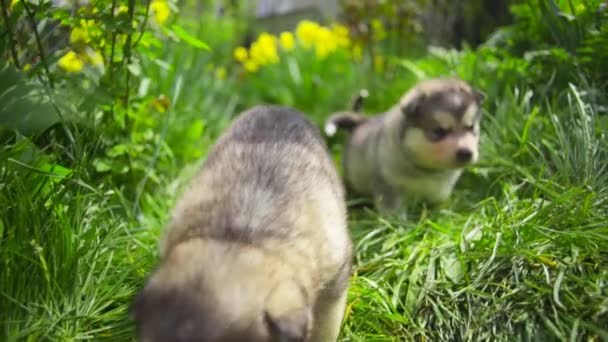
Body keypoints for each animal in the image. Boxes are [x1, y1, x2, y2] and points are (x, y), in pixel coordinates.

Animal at [326, 77, 486, 214]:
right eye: (438, 131)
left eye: (471, 127)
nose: (466, 153)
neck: (427, 170)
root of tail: (362, 120)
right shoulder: (388, 186)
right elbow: (393, 212)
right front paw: (399, 225)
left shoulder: (439, 192)